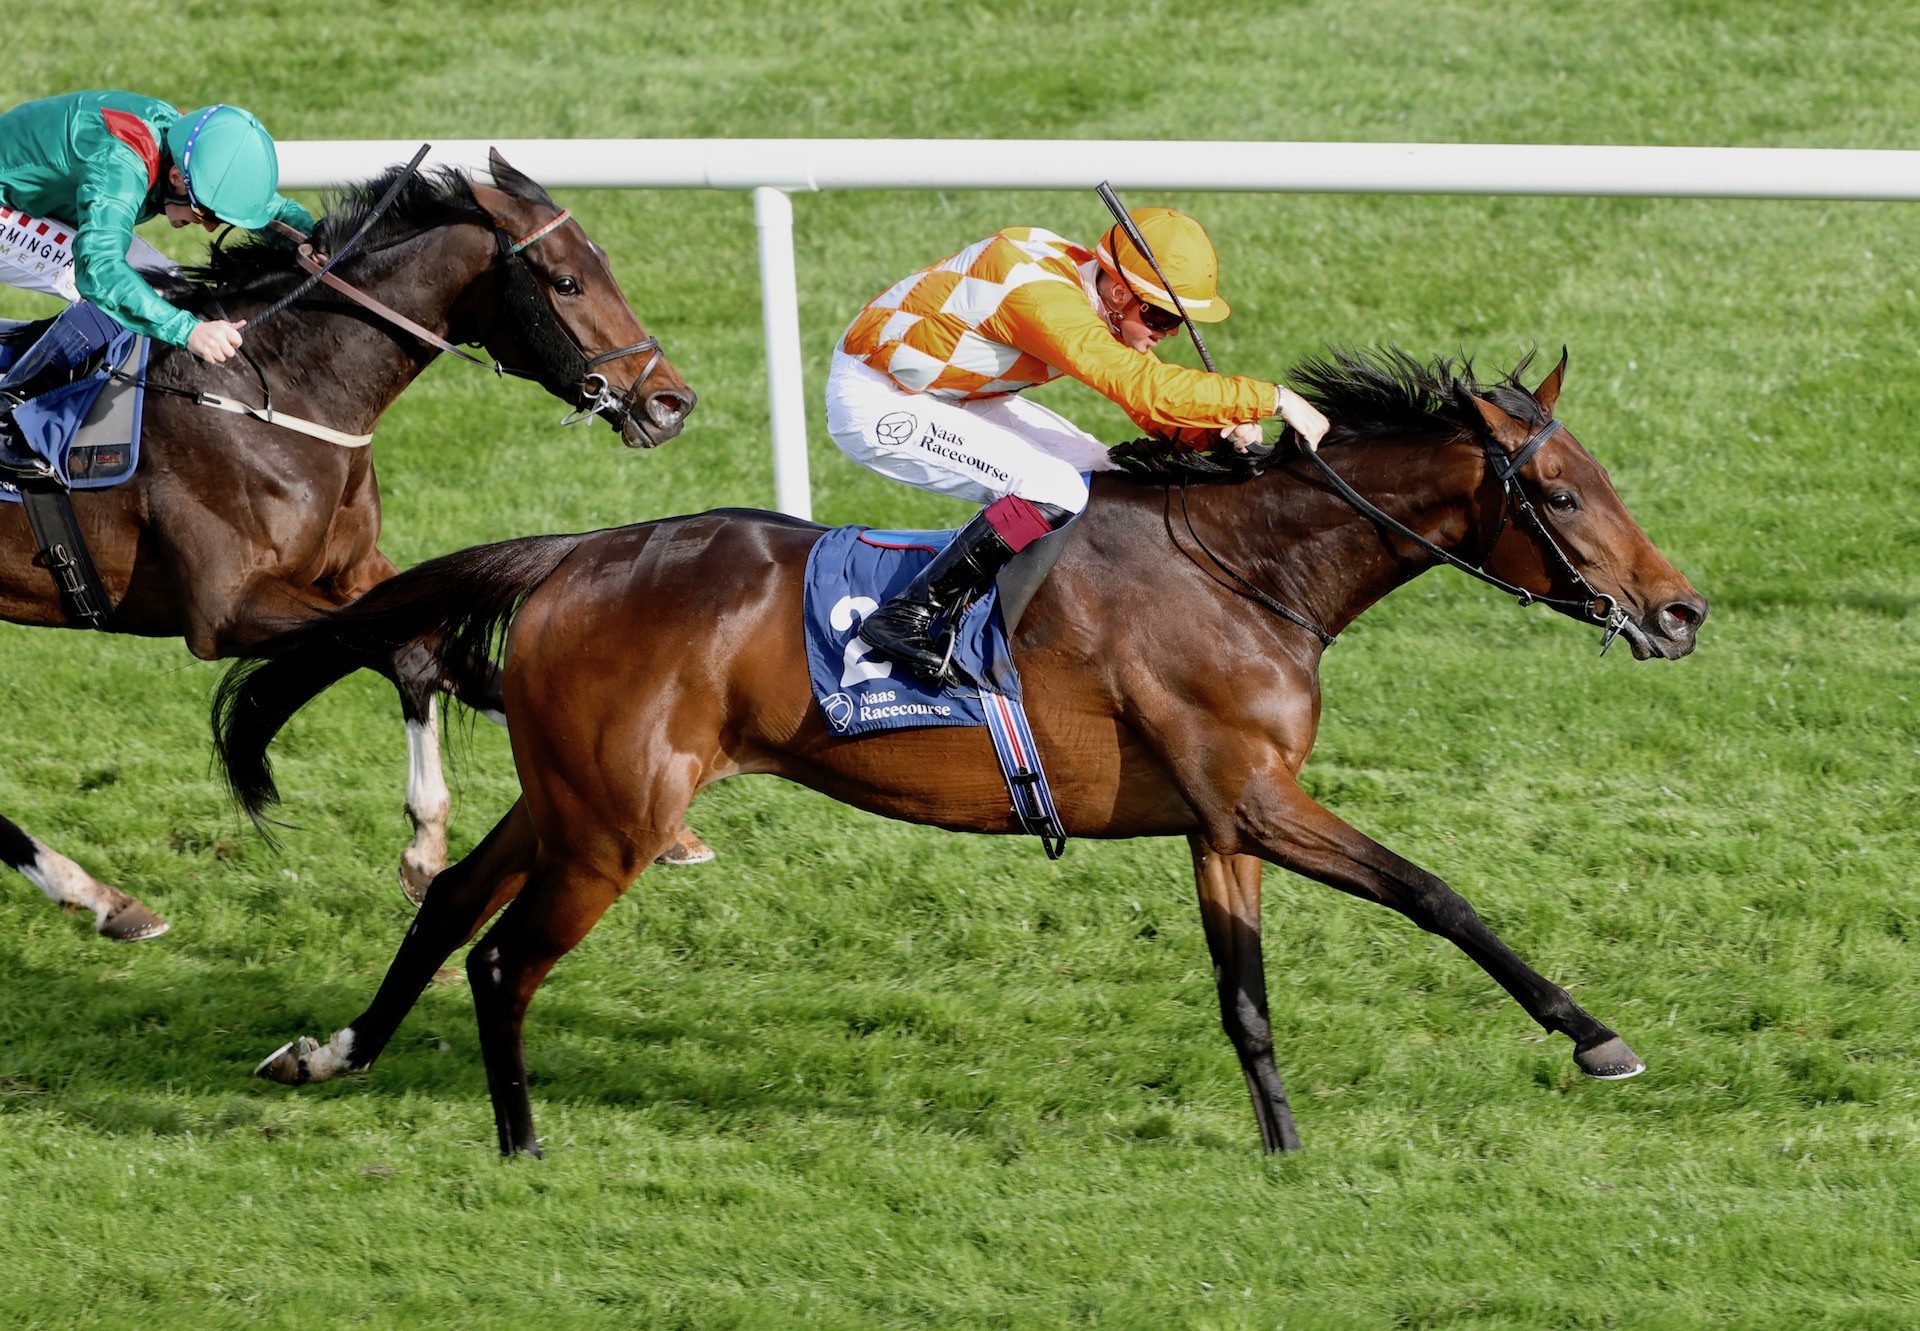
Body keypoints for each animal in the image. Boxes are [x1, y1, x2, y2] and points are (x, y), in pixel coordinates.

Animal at [0, 145, 702, 941]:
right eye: (566, 281)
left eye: (602, 261)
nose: (671, 403)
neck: (274, 389)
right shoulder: (224, 610)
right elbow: (408, 649)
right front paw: (426, 845)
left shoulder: (356, 570)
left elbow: (457, 653)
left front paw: (661, 822)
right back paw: (96, 895)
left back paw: (101, 897)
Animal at [214, 345, 1712, 1152]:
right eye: (1561, 491)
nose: (1681, 609)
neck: (1245, 571)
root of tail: (576, 550)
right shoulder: (1257, 794)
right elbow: (1436, 893)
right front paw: (1597, 1035)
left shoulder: (1220, 819)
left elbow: (1245, 997)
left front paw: (1284, 1144)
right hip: (614, 823)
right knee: (503, 956)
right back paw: (521, 1137)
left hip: (569, 794)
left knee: (451, 905)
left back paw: (332, 1050)